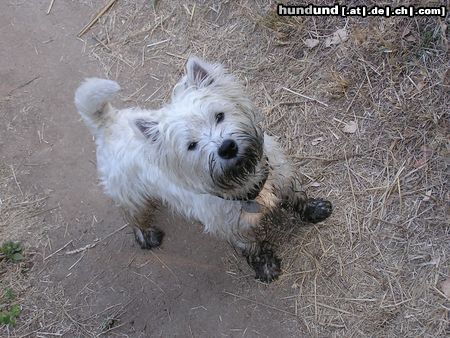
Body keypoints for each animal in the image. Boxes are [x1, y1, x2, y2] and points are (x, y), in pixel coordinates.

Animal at [74, 56, 330, 282]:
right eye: (191, 145)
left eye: (219, 116)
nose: (227, 147)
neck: (245, 182)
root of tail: (109, 123)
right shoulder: (232, 228)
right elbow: (253, 247)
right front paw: (266, 267)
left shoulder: (283, 178)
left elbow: (297, 197)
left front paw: (315, 209)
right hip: (129, 193)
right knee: (132, 215)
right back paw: (146, 236)